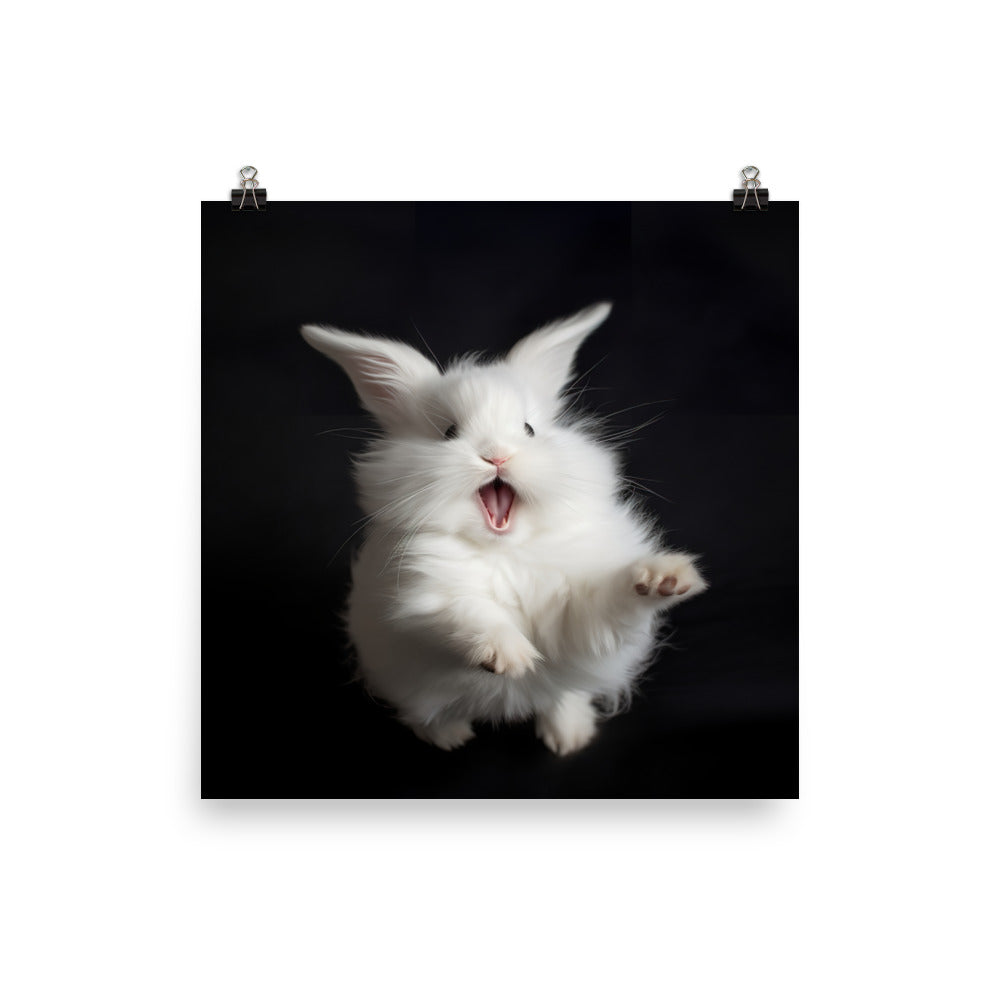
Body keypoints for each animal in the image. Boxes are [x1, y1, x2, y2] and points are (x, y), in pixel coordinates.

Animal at [300, 302, 706, 755]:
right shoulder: (421, 598)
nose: (497, 456)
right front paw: (509, 656)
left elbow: (611, 601)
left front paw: (664, 578)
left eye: (529, 429)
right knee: (422, 710)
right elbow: (465, 613)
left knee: (562, 695)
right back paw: (450, 736)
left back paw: (569, 736)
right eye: (449, 432)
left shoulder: (581, 616)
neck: (504, 549)